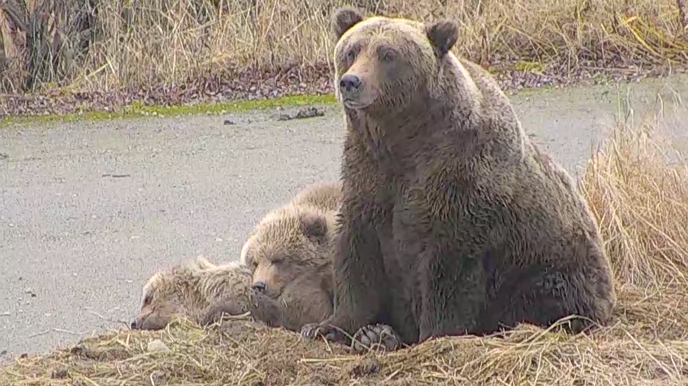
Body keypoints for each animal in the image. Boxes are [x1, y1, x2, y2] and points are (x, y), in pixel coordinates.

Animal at [300, 7, 620, 352]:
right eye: (351, 50)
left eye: (388, 54)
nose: (351, 82)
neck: (402, 138)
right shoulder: (367, 173)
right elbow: (357, 253)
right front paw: (329, 327)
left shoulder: (459, 180)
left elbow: (449, 270)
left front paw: (436, 334)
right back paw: (379, 335)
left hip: (552, 265)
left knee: (543, 298)